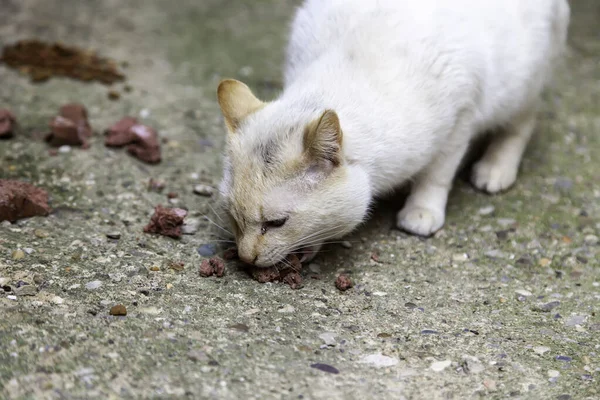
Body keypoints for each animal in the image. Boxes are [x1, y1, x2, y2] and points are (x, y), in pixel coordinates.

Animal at [214, 0, 568, 268]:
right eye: (233, 217)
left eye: (276, 223)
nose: (245, 257)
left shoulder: (460, 117)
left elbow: (437, 174)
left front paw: (422, 210)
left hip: (526, 83)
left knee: (521, 123)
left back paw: (496, 168)